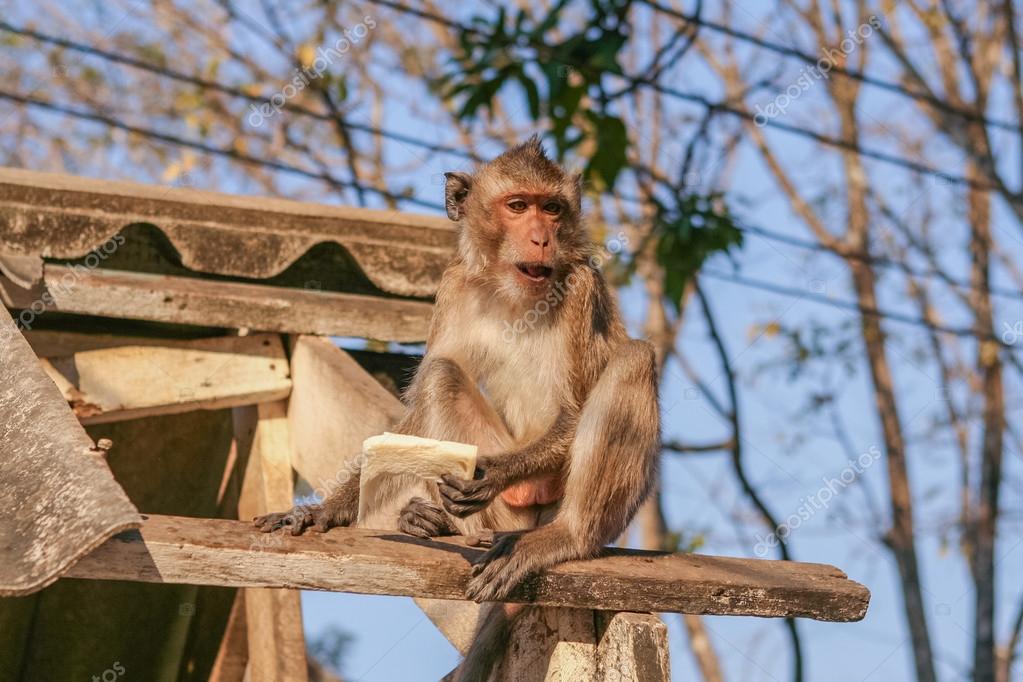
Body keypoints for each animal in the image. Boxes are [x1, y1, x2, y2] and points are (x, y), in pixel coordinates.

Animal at [251, 135, 658, 678]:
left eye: (552, 209)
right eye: (518, 206)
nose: (542, 239)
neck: (513, 292)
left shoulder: (581, 291)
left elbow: (573, 412)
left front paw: (492, 473)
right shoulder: (454, 287)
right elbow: (419, 405)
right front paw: (324, 511)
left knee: (634, 360)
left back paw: (567, 535)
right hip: (506, 516)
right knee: (442, 376)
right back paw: (442, 524)